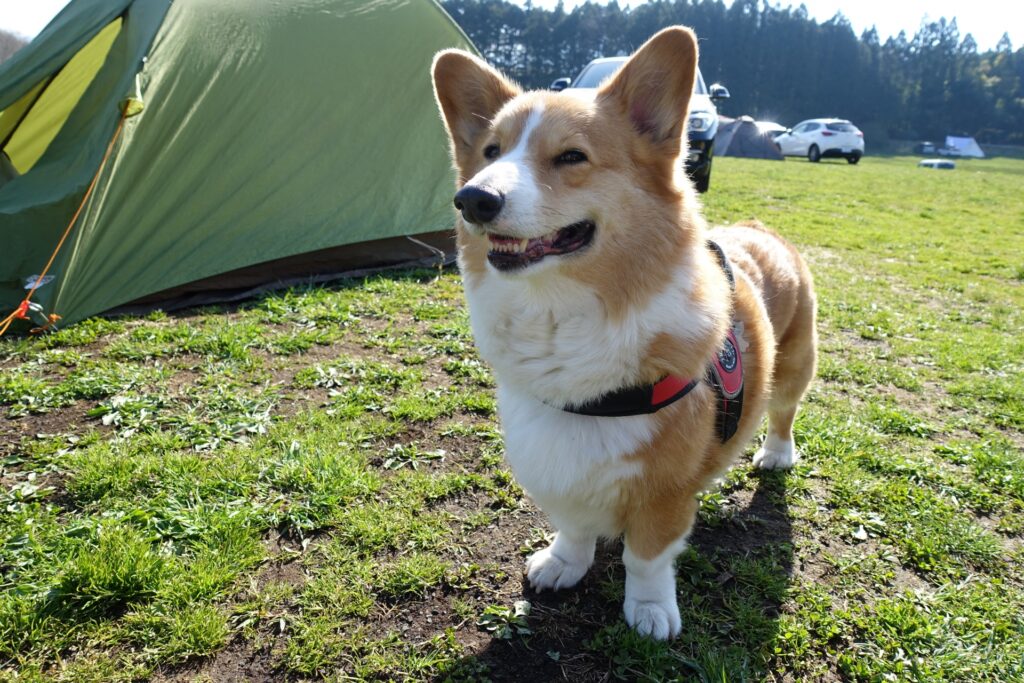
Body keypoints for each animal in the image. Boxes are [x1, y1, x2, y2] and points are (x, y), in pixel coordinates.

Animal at [432, 24, 815, 638]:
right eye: (491, 152)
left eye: (571, 156)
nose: (473, 199)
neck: (562, 319)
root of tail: (759, 228)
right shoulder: (558, 465)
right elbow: (574, 528)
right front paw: (562, 564)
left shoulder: (666, 492)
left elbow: (647, 556)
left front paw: (651, 610)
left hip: (795, 365)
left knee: (783, 412)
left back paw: (776, 454)